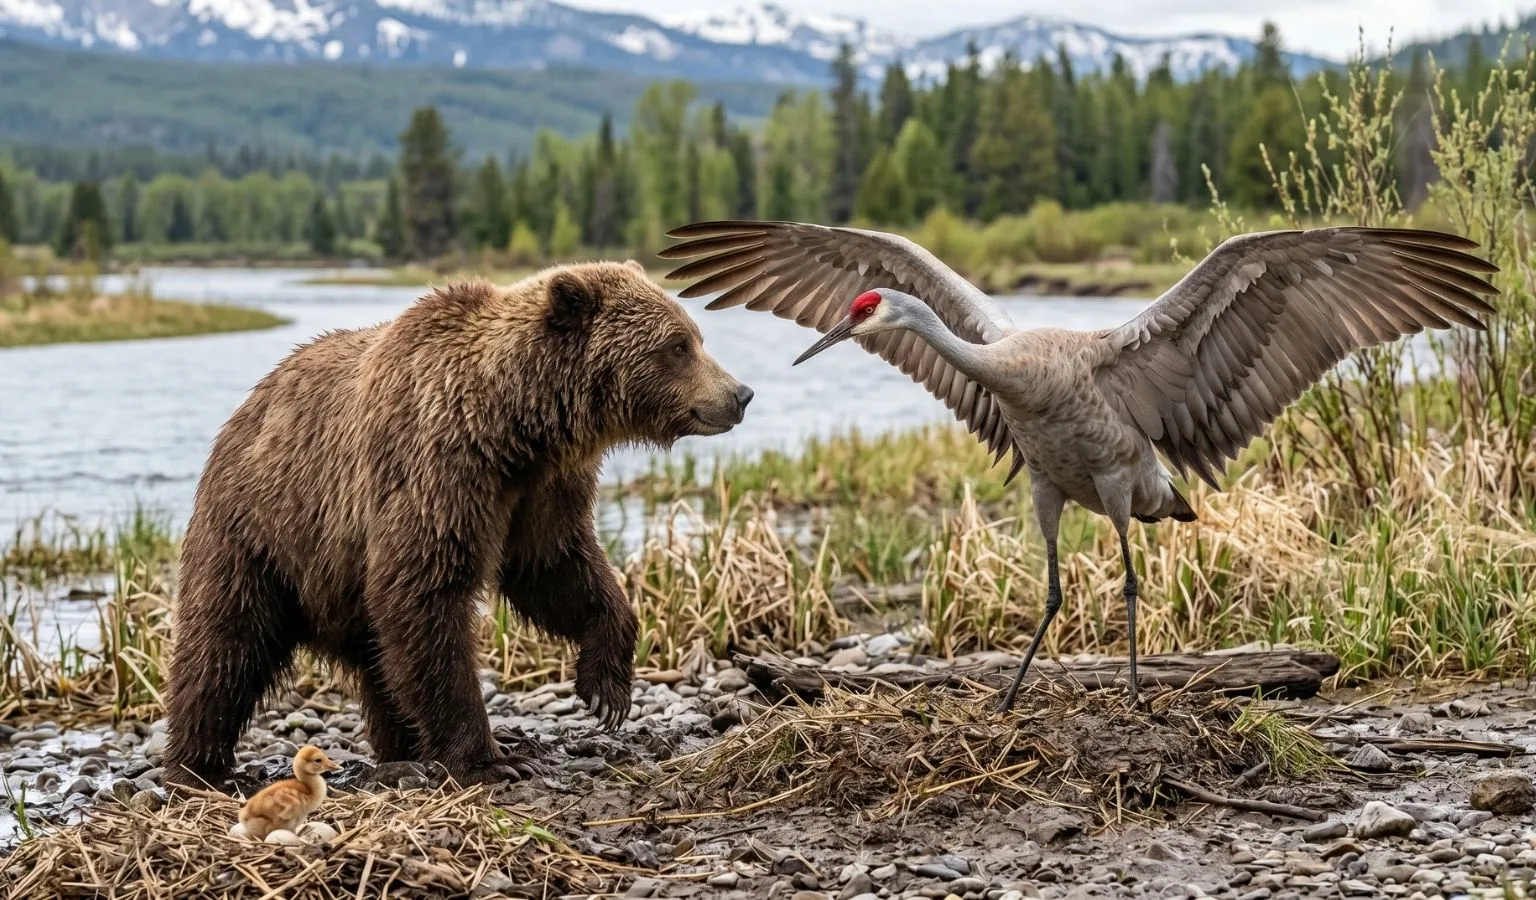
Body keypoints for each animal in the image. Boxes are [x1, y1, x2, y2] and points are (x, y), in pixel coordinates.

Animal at [163, 261, 753, 789]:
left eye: (694, 336)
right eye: (678, 345)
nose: (740, 394)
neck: (514, 426)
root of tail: (243, 411)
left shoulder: (540, 491)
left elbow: (558, 568)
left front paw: (606, 690)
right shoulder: (437, 471)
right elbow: (426, 597)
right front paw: (488, 759)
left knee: (379, 660)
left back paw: (403, 748)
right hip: (261, 531)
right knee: (224, 646)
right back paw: (198, 766)